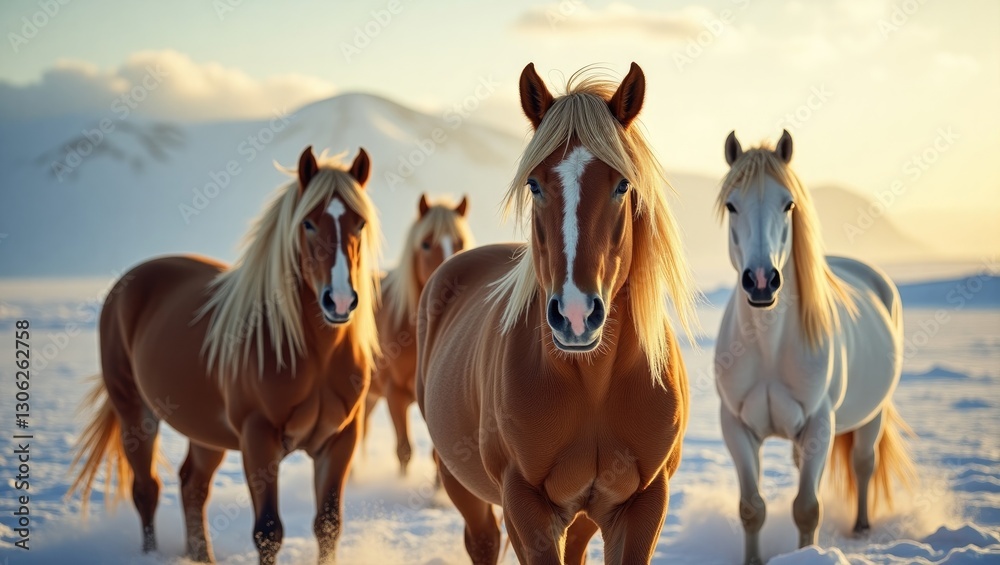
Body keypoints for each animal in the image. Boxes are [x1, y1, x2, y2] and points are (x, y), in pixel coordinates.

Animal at [68, 146, 381, 565]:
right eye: (308, 224)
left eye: (359, 223)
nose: (341, 300)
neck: (316, 356)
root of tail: (130, 281)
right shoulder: (258, 439)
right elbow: (268, 531)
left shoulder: (340, 440)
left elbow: (328, 525)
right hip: (134, 410)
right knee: (147, 490)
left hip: (206, 433)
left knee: (192, 486)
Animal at [417, 62, 697, 564]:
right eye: (534, 183)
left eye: (623, 184)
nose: (576, 314)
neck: (593, 385)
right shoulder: (525, 504)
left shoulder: (644, 504)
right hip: (460, 481)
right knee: (483, 540)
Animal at [714, 130, 916, 565]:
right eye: (732, 205)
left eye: (788, 203)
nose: (761, 281)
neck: (770, 351)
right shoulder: (736, 426)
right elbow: (751, 508)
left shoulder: (819, 424)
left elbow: (807, 508)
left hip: (871, 415)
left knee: (863, 464)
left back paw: (861, 529)